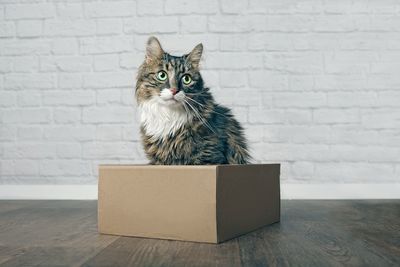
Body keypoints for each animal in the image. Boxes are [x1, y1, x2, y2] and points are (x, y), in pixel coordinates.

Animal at [136, 36, 252, 165]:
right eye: (162, 75)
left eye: (186, 79)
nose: (174, 90)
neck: (169, 115)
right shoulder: (158, 161)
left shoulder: (208, 155)